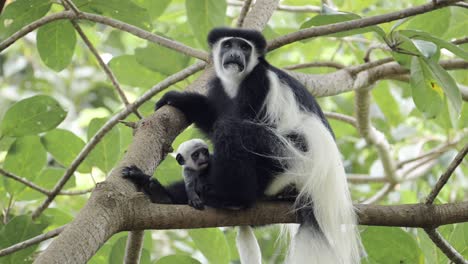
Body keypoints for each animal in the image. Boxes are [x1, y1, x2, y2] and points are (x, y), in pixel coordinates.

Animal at [154, 27, 362, 262]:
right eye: (228, 44)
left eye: (244, 47)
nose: (235, 54)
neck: (236, 83)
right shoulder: (218, 87)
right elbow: (212, 118)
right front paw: (179, 100)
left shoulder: (258, 83)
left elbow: (235, 121)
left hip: (290, 159)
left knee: (234, 130)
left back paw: (232, 197)